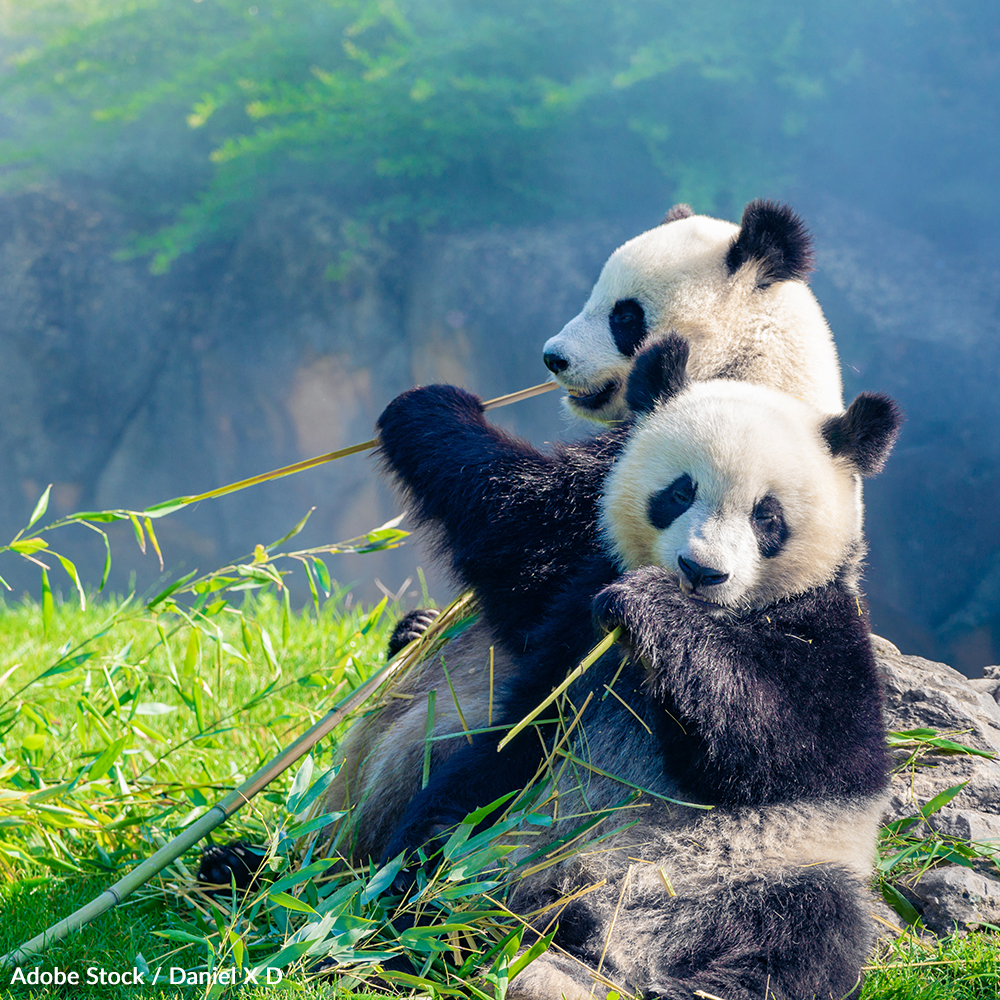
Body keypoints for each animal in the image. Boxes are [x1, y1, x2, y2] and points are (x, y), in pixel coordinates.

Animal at [380, 338, 900, 1000]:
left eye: (767, 517)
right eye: (679, 492)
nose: (701, 571)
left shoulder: (826, 633)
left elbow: (792, 746)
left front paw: (650, 607)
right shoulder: (576, 613)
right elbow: (525, 694)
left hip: (773, 868)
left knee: (806, 937)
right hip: (511, 827)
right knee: (448, 830)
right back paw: (431, 918)